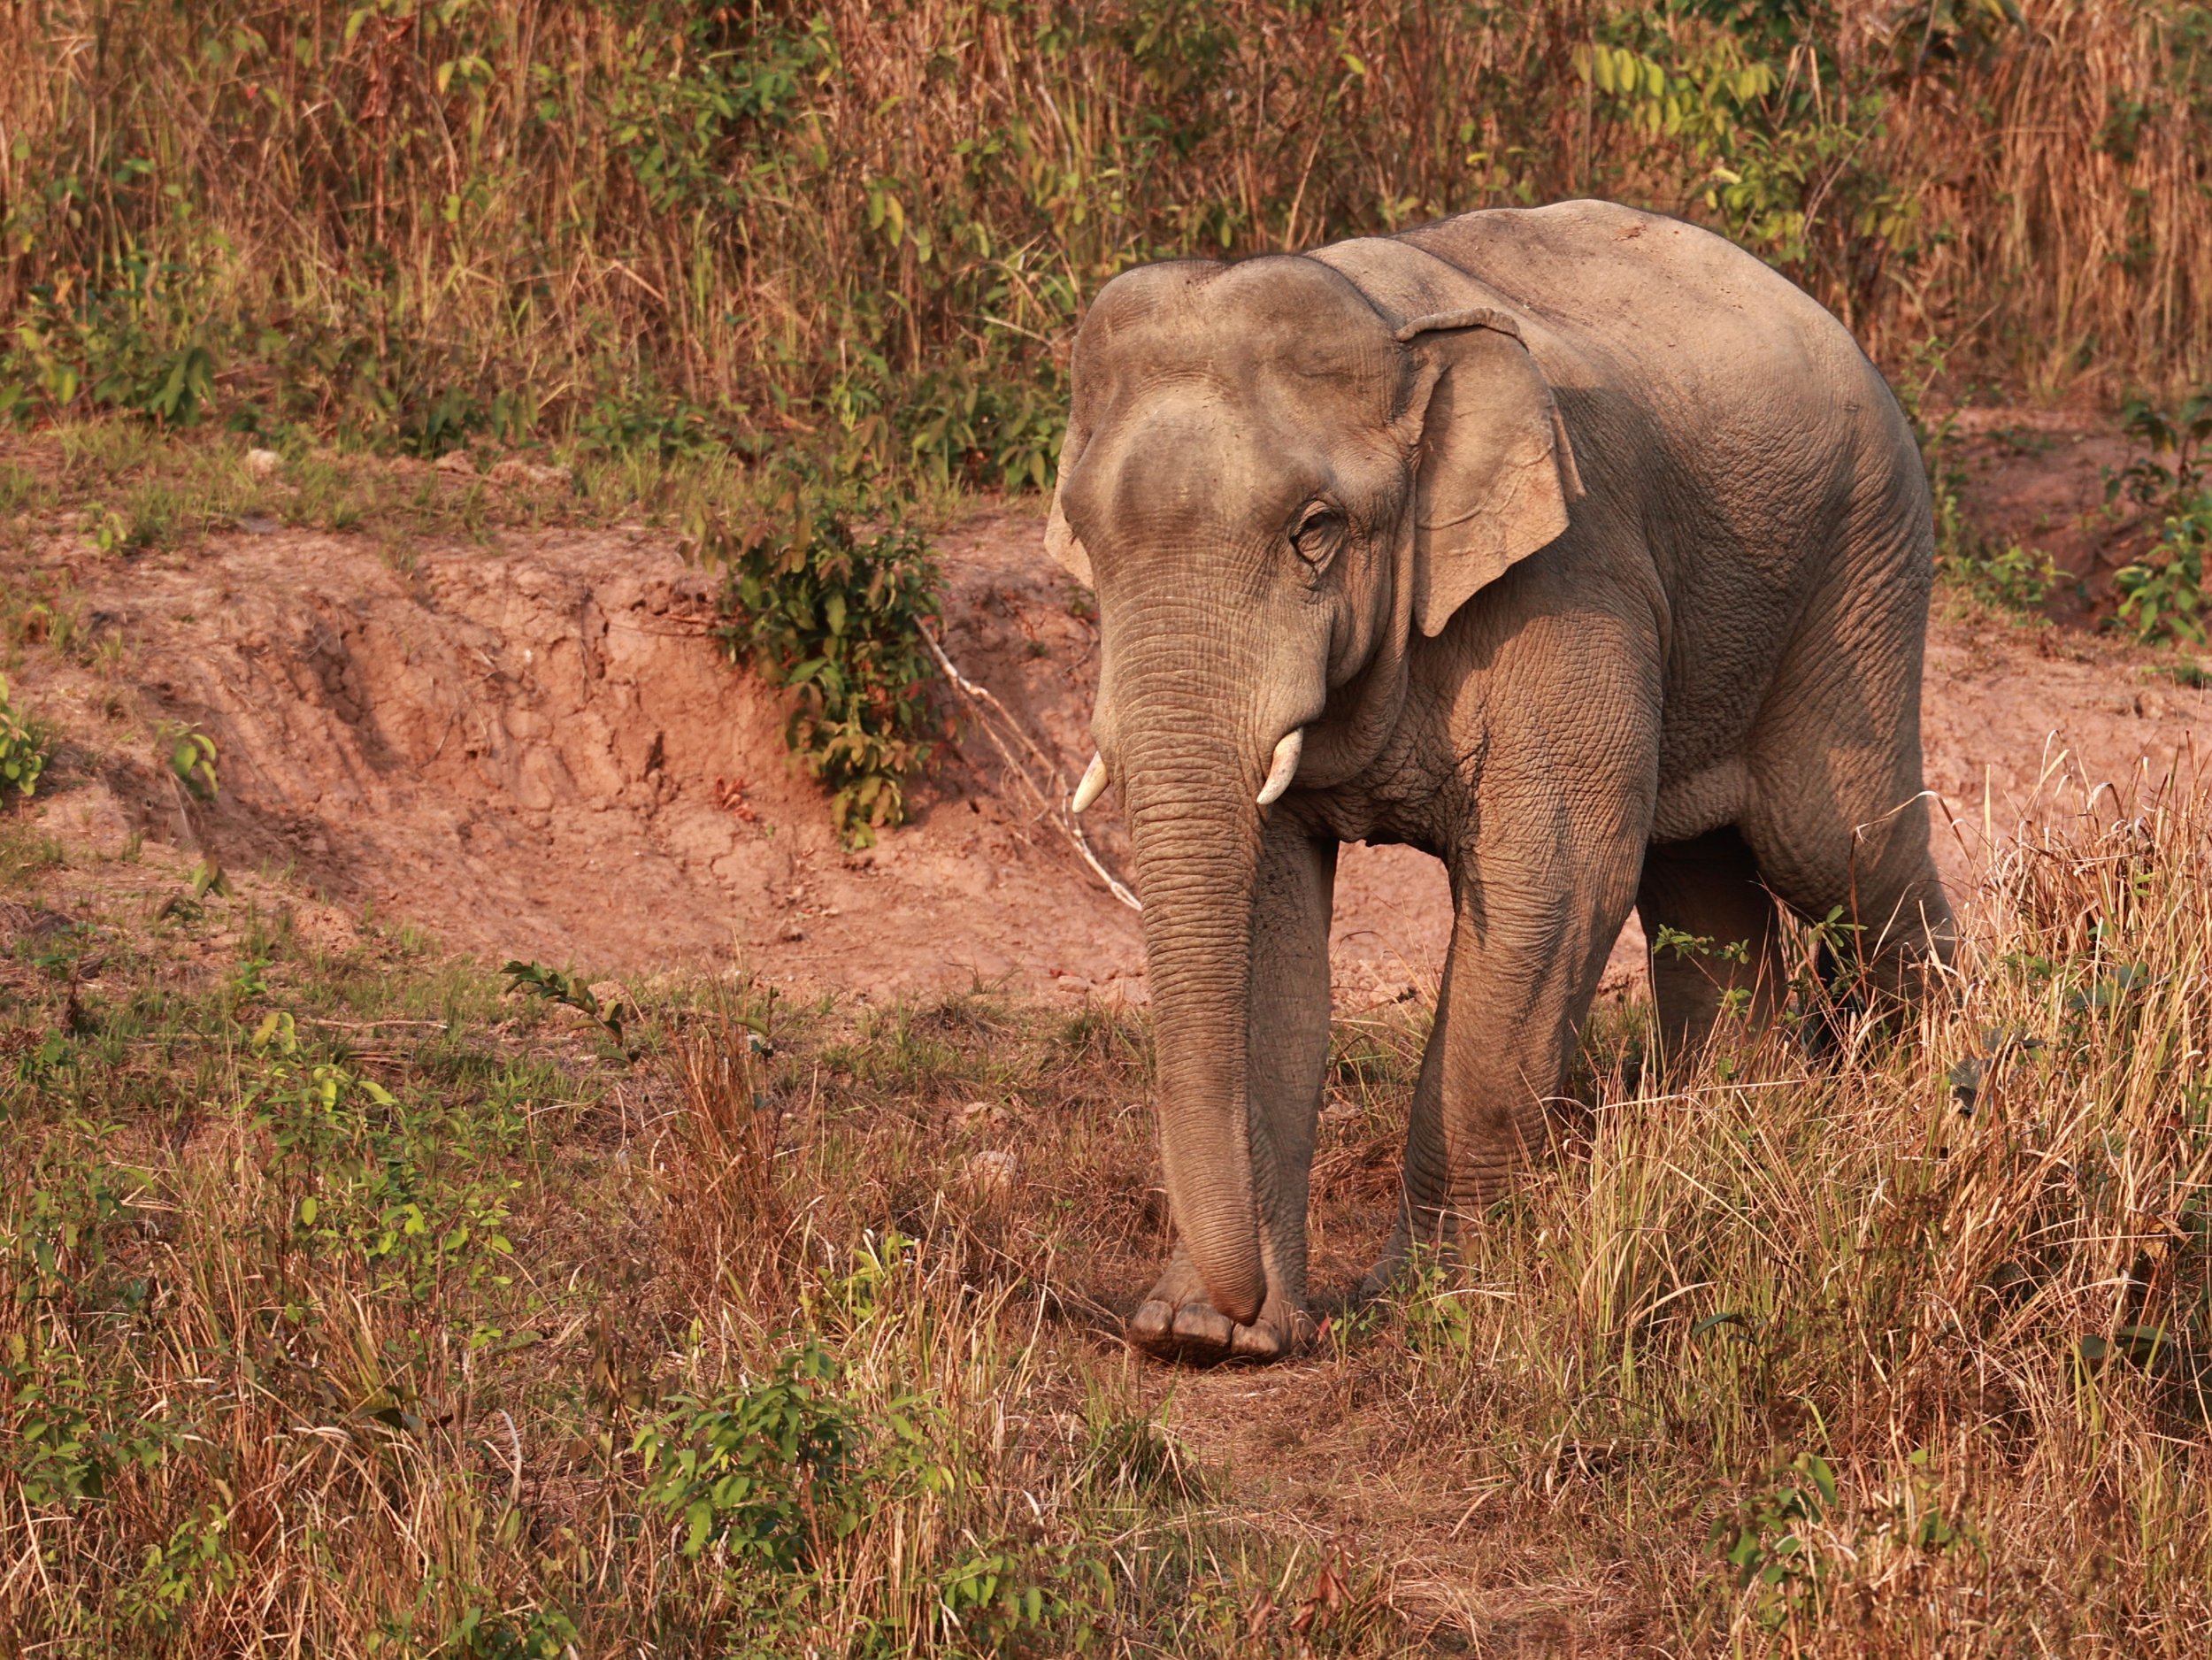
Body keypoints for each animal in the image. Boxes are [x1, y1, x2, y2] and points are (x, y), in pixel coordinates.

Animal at [1042, 199, 1956, 1365]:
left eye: (1314, 531)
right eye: (1088, 538)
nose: (1230, 1313)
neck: (1393, 332)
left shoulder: (1569, 586)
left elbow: (1553, 884)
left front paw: (1426, 1301)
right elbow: (1266, 924)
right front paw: (1205, 1336)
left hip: (1860, 566)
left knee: (1835, 844)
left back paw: (1938, 1090)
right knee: (1695, 872)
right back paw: (1736, 1142)